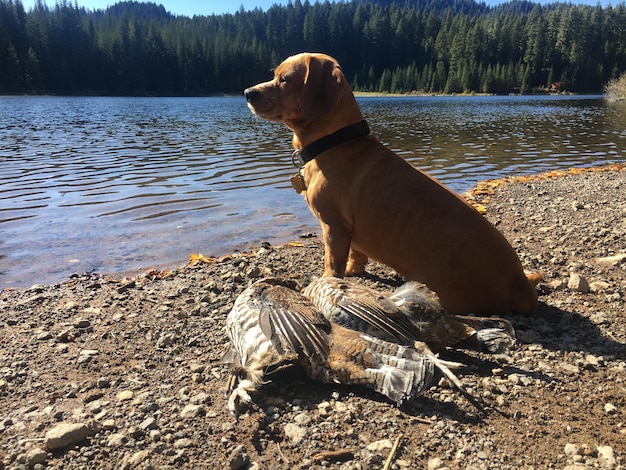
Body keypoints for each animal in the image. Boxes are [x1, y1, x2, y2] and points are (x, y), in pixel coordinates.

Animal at [244, 52, 536, 316]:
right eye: (274, 75)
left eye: (284, 79)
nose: (247, 92)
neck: (335, 142)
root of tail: (519, 283)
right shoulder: (349, 232)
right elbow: (355, 256)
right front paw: (352, 271)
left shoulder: (333, 227)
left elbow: (331, 265)